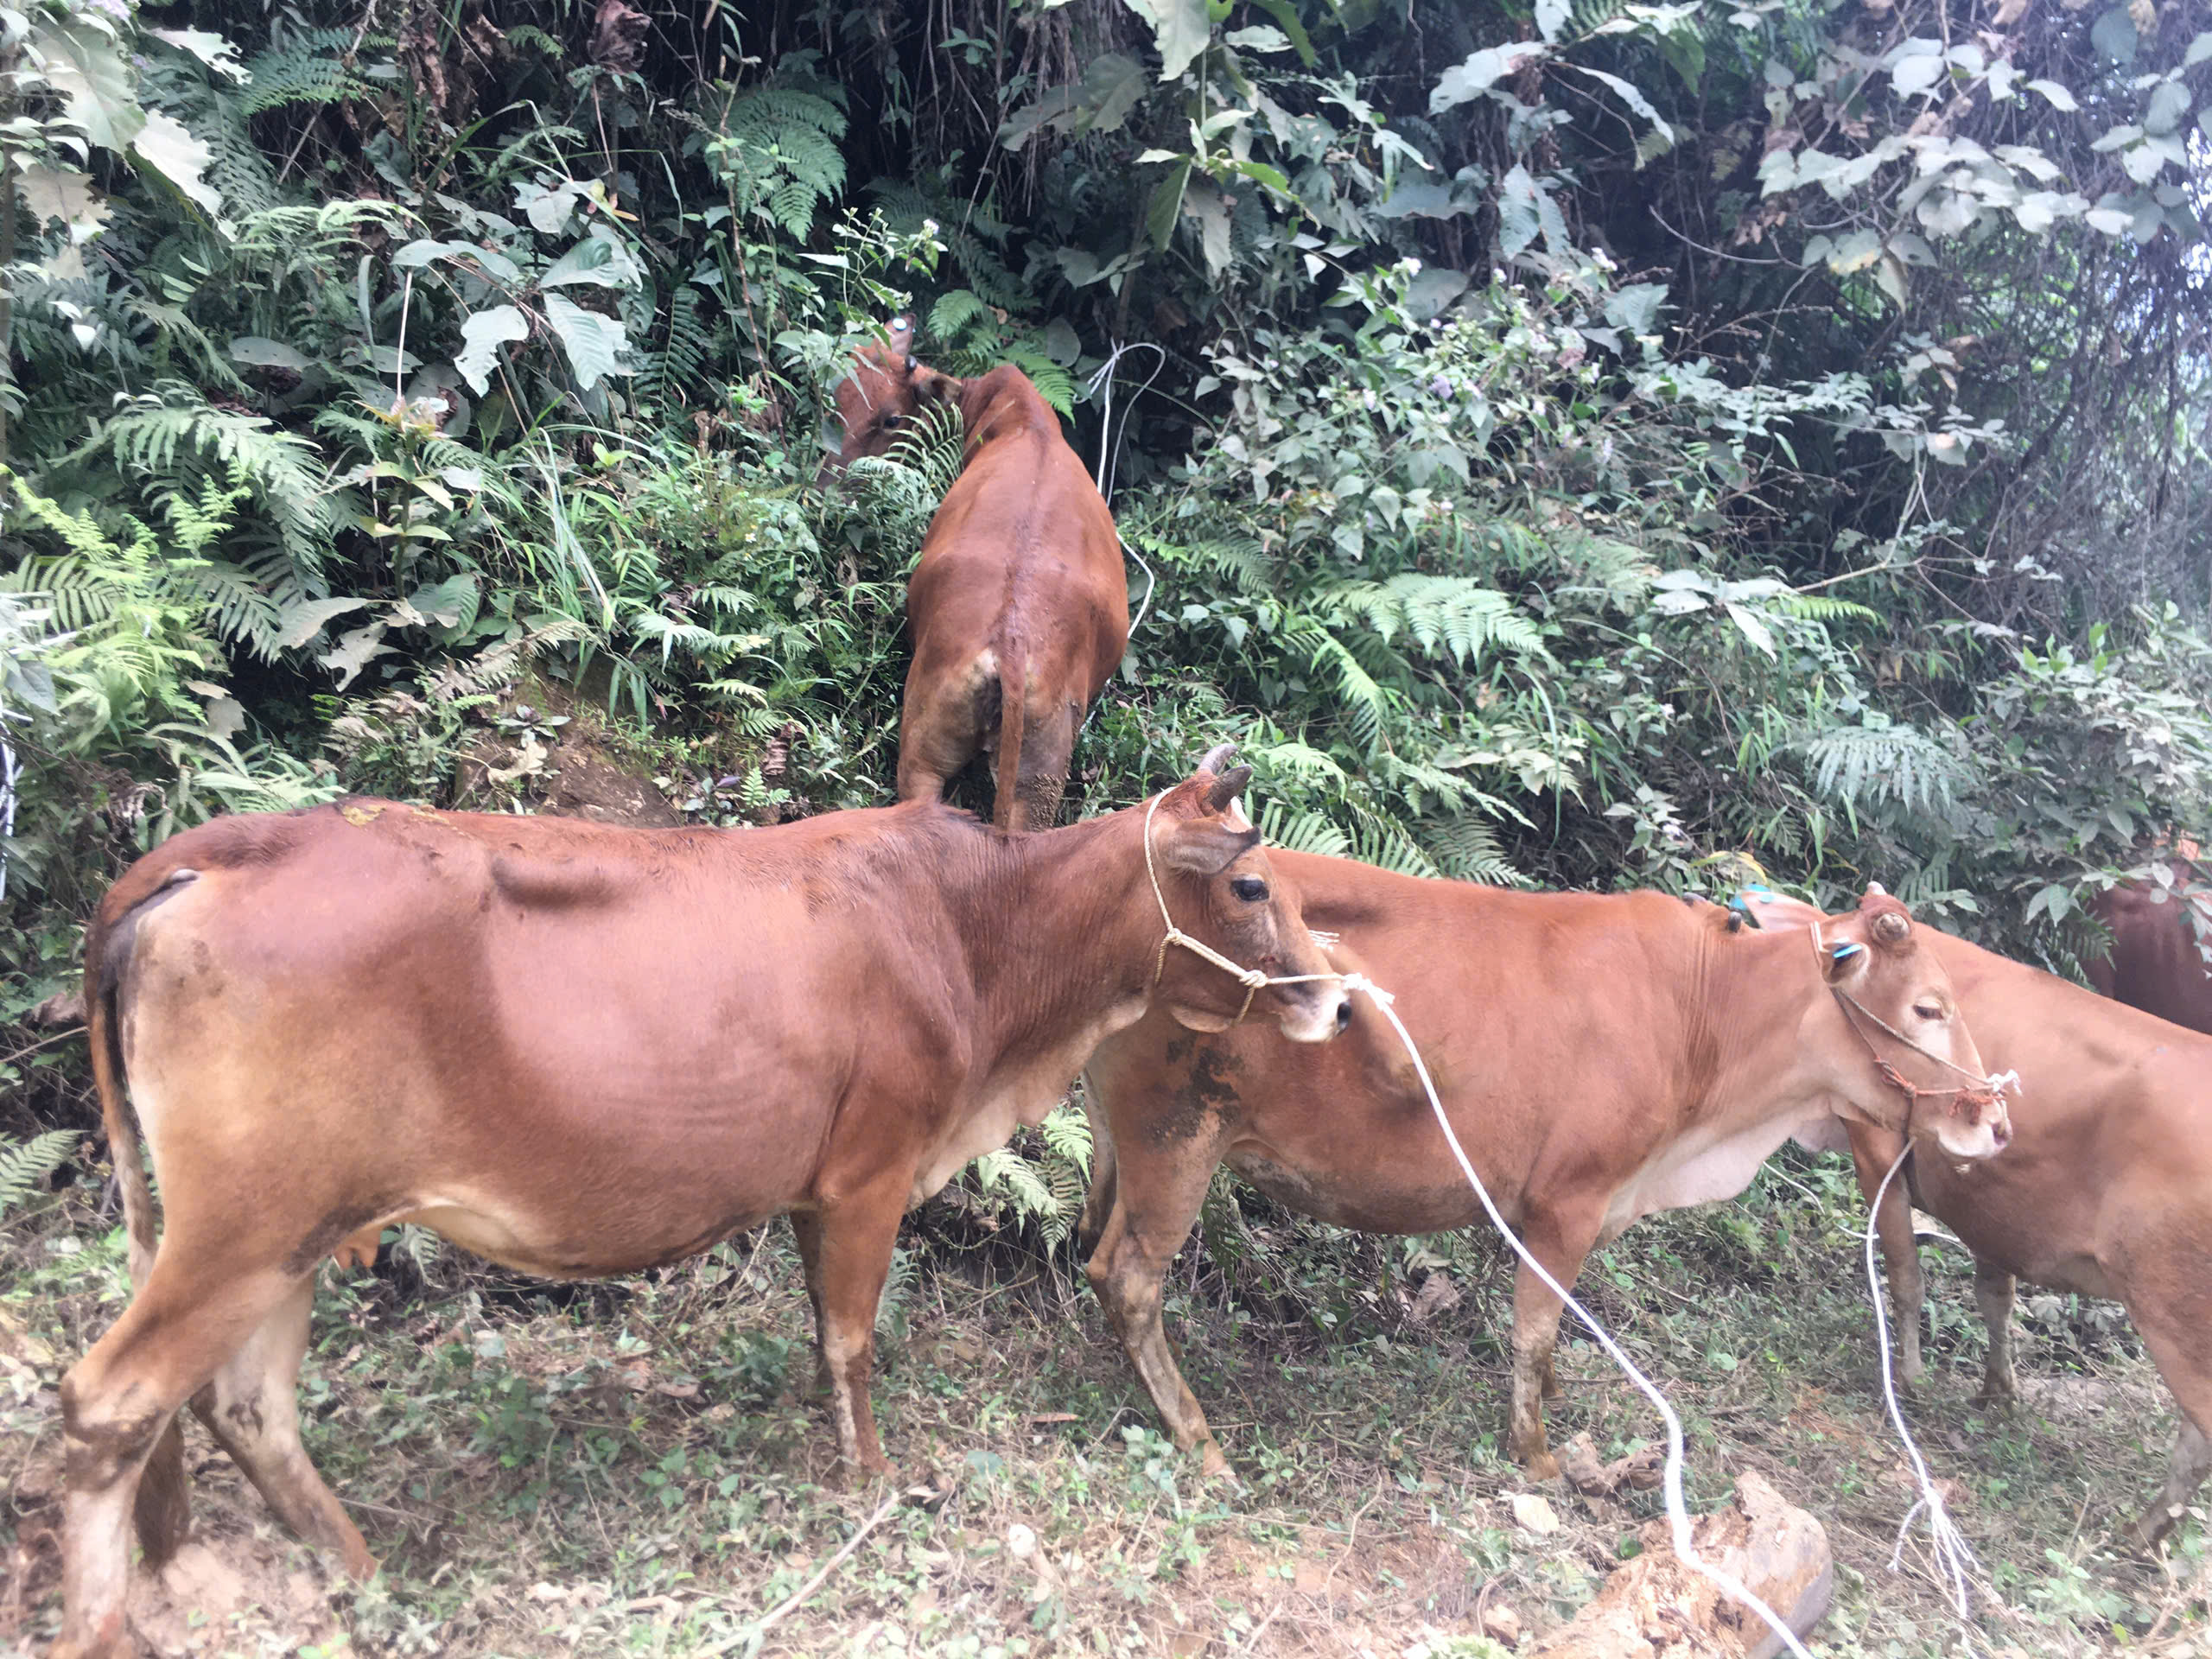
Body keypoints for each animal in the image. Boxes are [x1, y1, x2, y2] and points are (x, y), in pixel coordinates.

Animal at [48, 749, 1349, 1659]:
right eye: (1250, 883)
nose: (1337, 1002)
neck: (975, 936)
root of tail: (204, 853)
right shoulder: (871, 1173)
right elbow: (854, 1338)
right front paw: (872, 1484)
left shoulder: (814, 1191)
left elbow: (820, 1337)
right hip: (241, 1228)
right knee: (112, 1402)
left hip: (287, 1235)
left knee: (244, 1407)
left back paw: (362, 1573)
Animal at [824, 317, 1129, 832]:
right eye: (839, 396)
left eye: (891, 419)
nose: (829, 485)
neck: (1018, 419)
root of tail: (1008, 642)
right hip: (1032, 777)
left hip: (929, 750)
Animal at [1075, 853, 2013, 1485]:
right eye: (1929, 1007)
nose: (1997, 1119)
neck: (1702, 1016)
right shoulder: (1569, 1200)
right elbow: (1534, 1328)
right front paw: (1535, 1454)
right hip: (1178, 1138)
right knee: (1128, 1276)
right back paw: (1198, 1439)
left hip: (1129, 1142)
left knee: (1091, 1248)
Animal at [1733, 887, 2212, 1551]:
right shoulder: (1995, 1206)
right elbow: (1996, 1298)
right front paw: (1998, 1394)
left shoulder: (1877, 1149)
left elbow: (1906, 1275)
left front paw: (1910, 1379)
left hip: (2176, 1316)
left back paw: (2139, 1533)